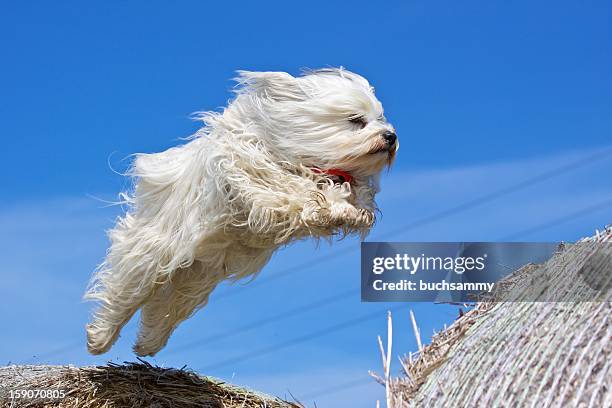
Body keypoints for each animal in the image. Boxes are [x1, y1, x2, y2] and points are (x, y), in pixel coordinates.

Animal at [85, 68, 396, 356]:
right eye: (356, 120)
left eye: (380, 119)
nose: (390, 136)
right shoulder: (251, 173)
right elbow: (292, 188)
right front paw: (332, 203)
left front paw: (354, 209)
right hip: (154, 252)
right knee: (127, 291)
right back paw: (99, 338)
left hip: (195, 276)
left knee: (166, 306)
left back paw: (147, 343)